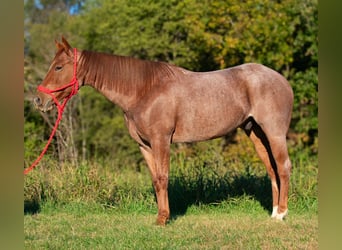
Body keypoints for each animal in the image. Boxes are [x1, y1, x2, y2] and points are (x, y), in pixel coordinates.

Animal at [33, 37, 292, 227]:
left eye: (58, 67)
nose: (38, 99)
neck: (143, 89)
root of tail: (282, 80)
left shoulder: (161, 140)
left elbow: (163, 177)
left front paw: (164, 219)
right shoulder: (145, 145)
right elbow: (155, 179)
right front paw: (160, 216)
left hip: (274, 133)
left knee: (283, 166)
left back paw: (282, 213)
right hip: (255, 133)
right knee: (271, 169)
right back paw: (273, 213)